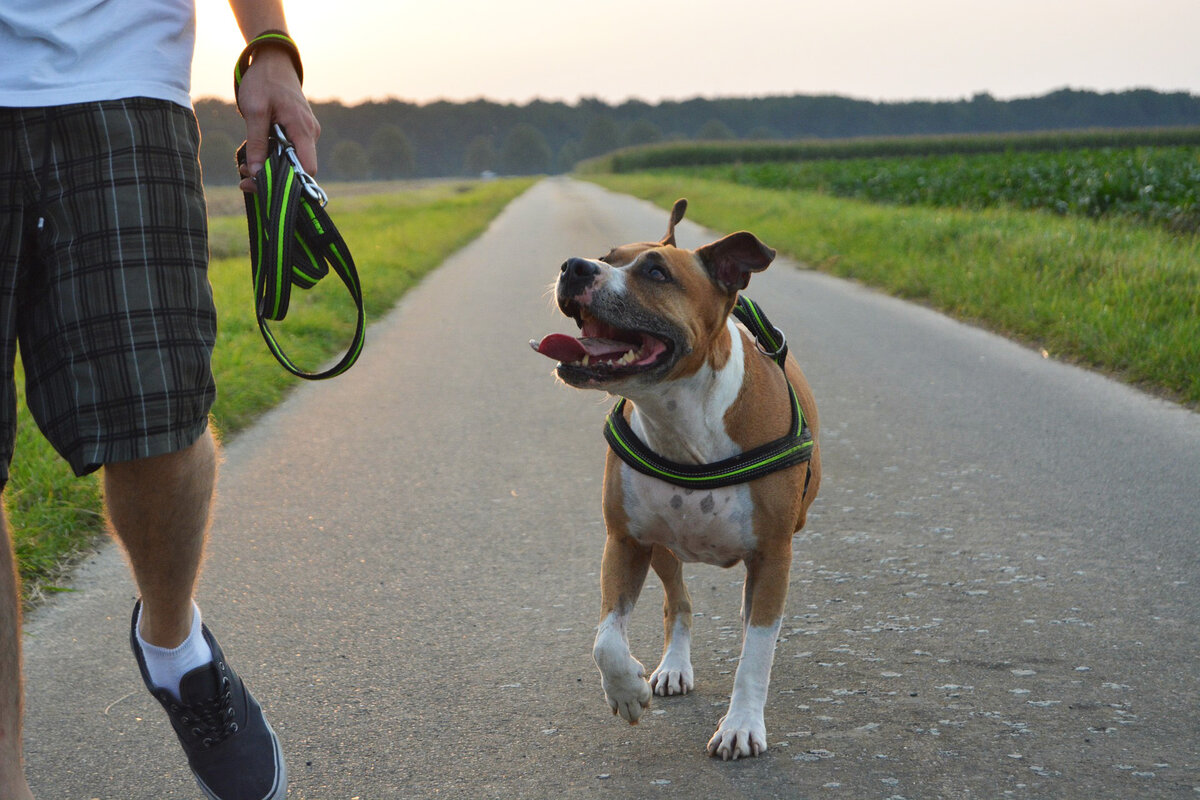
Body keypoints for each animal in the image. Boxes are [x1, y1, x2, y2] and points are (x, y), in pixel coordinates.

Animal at [537, 199, 825, 758]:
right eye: (606, 257)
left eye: (656, 273)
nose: (575, 266)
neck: (682, 419)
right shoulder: (625, 539)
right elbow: (606, 639)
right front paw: (625, 690)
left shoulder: (773, 554)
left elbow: (756, 652)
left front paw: (741, 725)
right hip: (664, 548)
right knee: (679, 603)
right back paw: (673, 667)